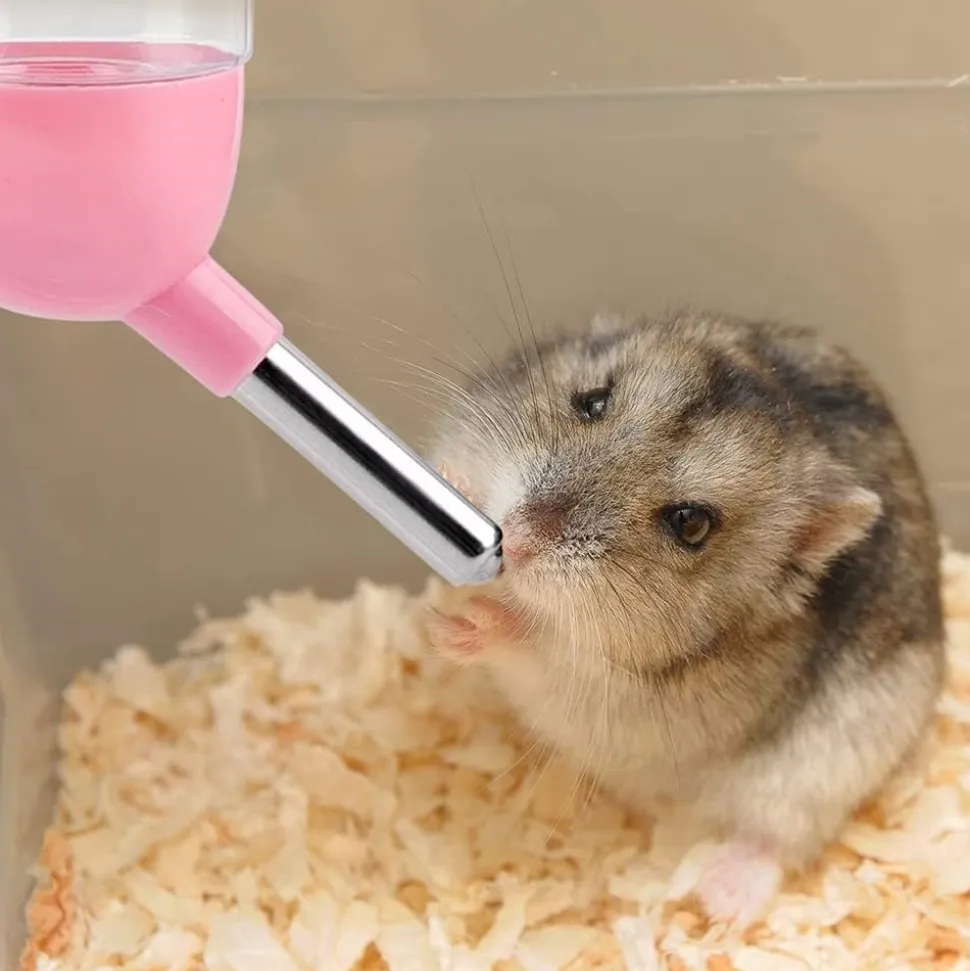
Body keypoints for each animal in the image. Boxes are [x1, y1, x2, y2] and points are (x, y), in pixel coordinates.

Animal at [425, 310, 945, 927]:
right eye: (592, 401)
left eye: (691, 523)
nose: (518, 539)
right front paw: (452, 486)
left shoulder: (617, 696)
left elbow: (542, 649)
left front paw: (460, 630)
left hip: (820, 777)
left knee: (778, 840)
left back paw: (721, 903)